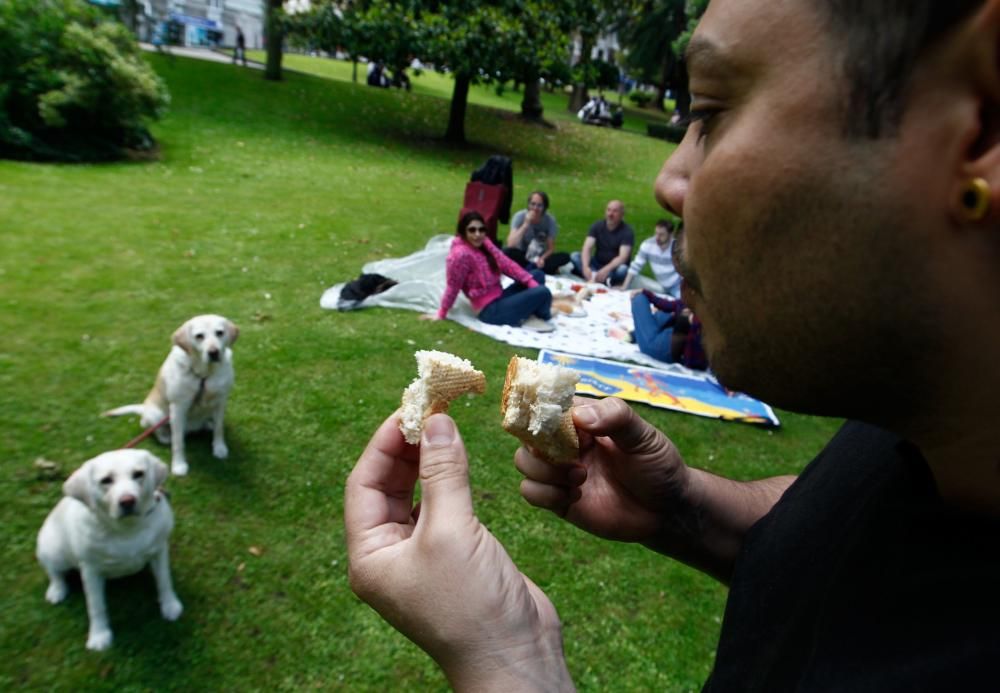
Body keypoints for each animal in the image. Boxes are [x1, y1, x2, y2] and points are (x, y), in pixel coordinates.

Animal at [35, 448, 182, 648]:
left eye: (138, 474)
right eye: (106, 480)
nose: (127, 501)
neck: (127, 529)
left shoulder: (159, 551)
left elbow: (165, 581)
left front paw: (170, 605)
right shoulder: (90, 570)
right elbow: (96, 605)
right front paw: (99, 636)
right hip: (52, 550)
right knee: (55, 573)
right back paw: (56, 591)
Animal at [103, 314, 238, 474]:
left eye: (219, 333)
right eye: (199, 336)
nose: (214, 352)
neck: (203, 375)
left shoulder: (220, 401)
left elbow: (219, 429)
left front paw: (219, 448)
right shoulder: (178, 407)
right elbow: (178, 441)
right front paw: (179, 465)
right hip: (156, 415)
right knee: (156, 429)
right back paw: (166, 437)